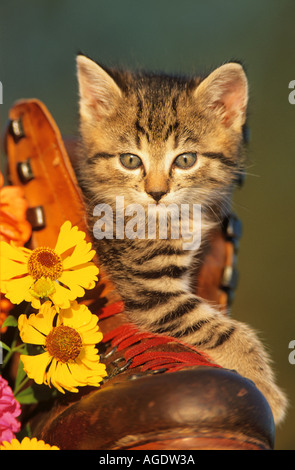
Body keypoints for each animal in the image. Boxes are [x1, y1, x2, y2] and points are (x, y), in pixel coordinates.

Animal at [75, 53, 288, 424]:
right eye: (130, 160)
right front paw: (266, 390)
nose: (157, 192)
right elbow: (220, 328)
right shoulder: (151, 292)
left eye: (186, 159)